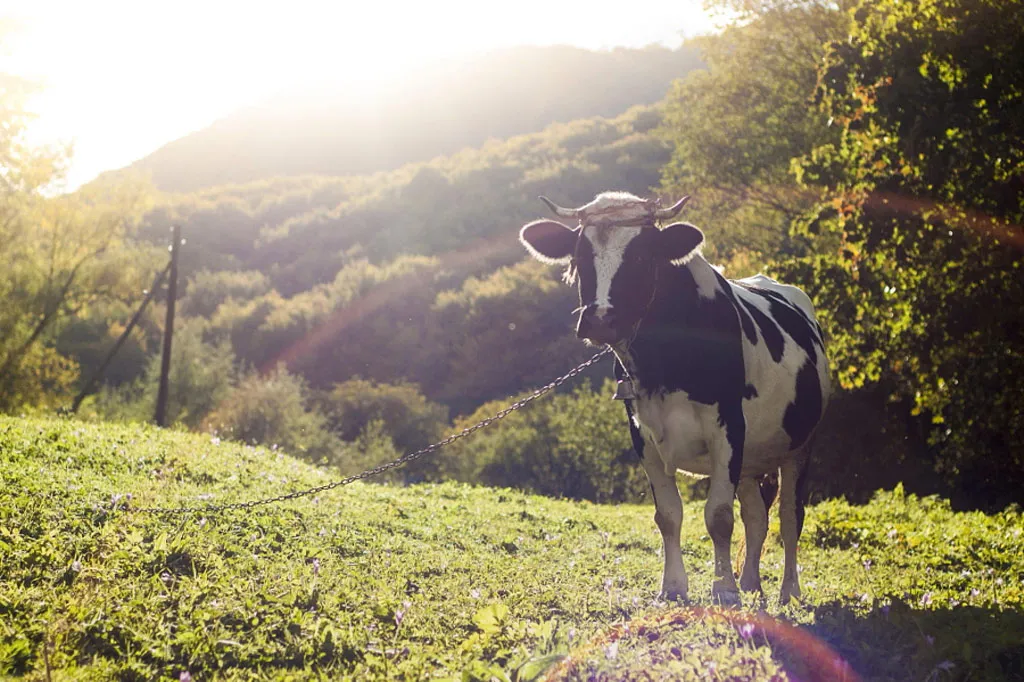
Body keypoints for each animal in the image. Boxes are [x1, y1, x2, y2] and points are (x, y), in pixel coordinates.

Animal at [519, 191, 830, 605]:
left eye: (641, 257)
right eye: (579, 257)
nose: (601, 320)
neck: (662, 360)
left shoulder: (728, 428)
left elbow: (718, 516)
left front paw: (724, 590)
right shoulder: (642, 431)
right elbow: (668, 514)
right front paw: (674, 587)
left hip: (800, 445)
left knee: (790, 516)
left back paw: (789, 591)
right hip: (753, 456)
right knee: (756, 516)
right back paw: (751, 582)